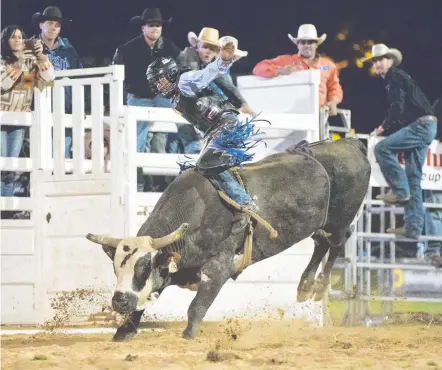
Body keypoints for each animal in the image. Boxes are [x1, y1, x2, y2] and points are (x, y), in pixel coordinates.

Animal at [85, 138, 370, 342]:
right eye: (116, 267)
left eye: (143, 268)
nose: (119, 301)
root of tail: (350, 144)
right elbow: (144, 302)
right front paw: (124, 331)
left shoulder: (218, 268)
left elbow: (197, 305)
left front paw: (188, 335)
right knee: (321, 243)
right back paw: (305, 287)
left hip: (340, 219)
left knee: (338, 241)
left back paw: (319, 286)